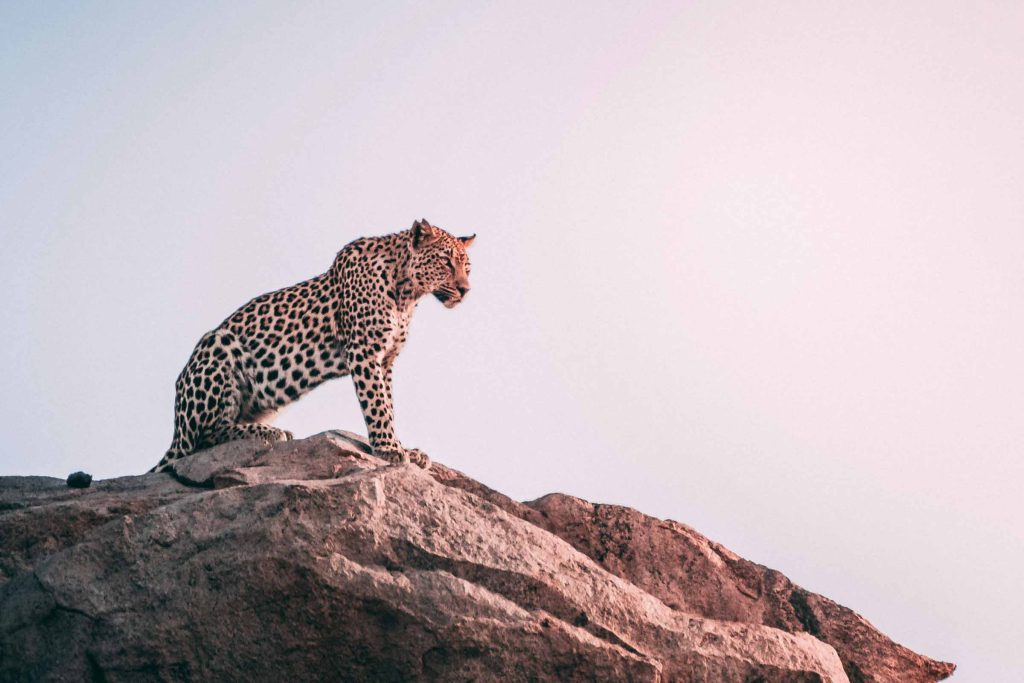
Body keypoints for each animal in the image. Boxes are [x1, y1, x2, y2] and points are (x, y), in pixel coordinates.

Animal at [149, 220, 475, 475]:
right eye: (446, 262)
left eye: (467, 267)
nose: (465, 290)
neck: (407, 294)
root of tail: (176, 431)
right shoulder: (364, 351)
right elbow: (377, 404)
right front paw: (389, 448)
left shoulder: (386, 360)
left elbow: (389, 404)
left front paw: (402, 446)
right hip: (217, 344)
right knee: (204, 438)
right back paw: (271, 433)